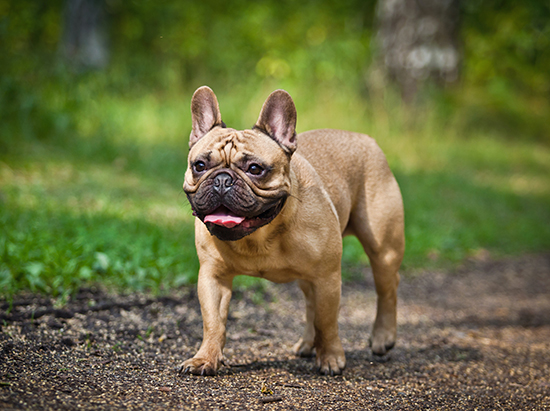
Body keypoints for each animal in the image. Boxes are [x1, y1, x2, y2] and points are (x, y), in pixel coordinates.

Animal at [181, 87, 406, 376]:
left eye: (255, 169)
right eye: (199, 166)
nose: (222, 180)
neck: (258, 236)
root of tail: (367, 139)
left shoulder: (327, 277)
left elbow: (327, 321)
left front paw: (331, 357)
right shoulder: (213, 277)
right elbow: (213, 323)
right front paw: (205, 358)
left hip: (383, 249)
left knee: (387, 289)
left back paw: (382, 337)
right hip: (308, 276)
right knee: (311, 303)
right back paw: (308, 344)